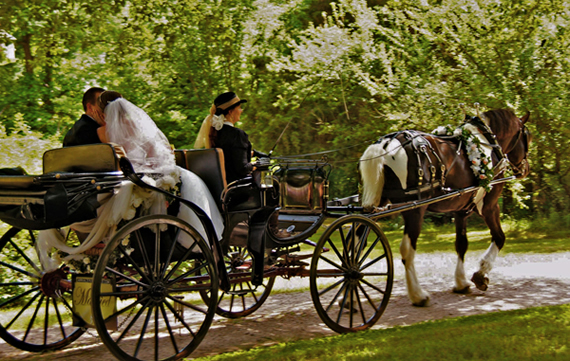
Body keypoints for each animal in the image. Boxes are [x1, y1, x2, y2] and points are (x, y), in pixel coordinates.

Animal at [360, 109, 528, 304]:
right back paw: (418, 295)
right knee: (407, 250)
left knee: (357, 241)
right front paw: (480, 274)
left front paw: (461, 283)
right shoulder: (489, 206)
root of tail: (387, 144)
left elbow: (461, 244)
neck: (486, 141)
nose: (525, 169)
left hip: (376, 205)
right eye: (527, 137)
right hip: (415, 210)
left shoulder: (462, 210)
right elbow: (499, 237)